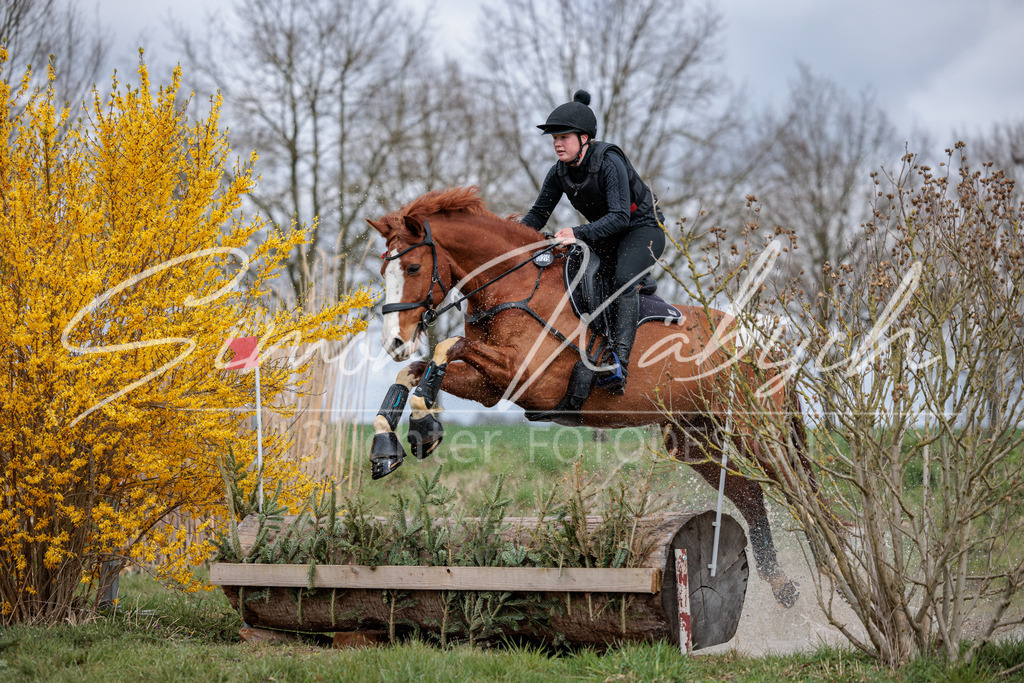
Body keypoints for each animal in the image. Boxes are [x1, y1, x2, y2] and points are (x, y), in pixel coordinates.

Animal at [366, 186, 821, 607]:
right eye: (384, 270)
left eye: (413, 266)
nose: (393, 342)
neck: (515, 285)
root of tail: (769, 347)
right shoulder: (491, 387)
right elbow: (415, 369)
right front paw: (389, 447)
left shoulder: (527, 375)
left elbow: (447, 347)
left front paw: (424, 425)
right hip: (693, 439)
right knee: (752, 495)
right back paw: (784, 586)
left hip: (757, 432)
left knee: (799, 491)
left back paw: (831, 567)